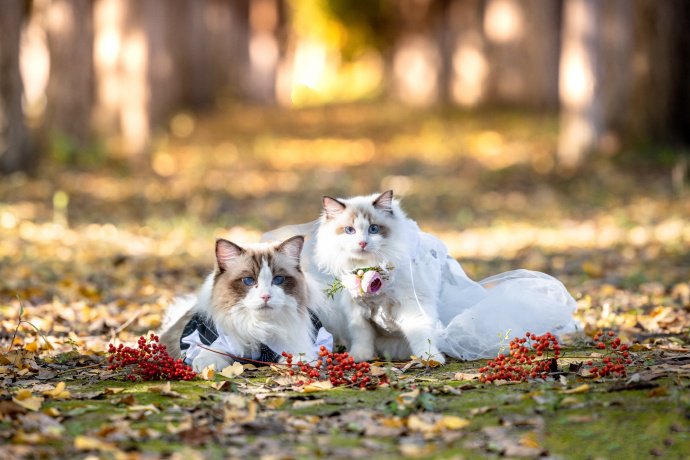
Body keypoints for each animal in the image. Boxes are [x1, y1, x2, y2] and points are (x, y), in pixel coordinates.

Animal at [159, 235, 330, 372]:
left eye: (278, 279)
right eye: (248, 281)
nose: (266, 296)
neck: (260, 328)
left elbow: (298, 352)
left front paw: (299, 362)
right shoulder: (206, 337)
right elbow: (212, 350)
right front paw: (208, 365)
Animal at [260, 190, 576, 362]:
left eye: (373, 229)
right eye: (349, 230)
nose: (362, 243)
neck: (370, 272)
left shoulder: (413, 307)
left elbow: (421, 335)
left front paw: (430, 359)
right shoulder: (356, 312)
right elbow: (362, 337)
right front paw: (362, 356)